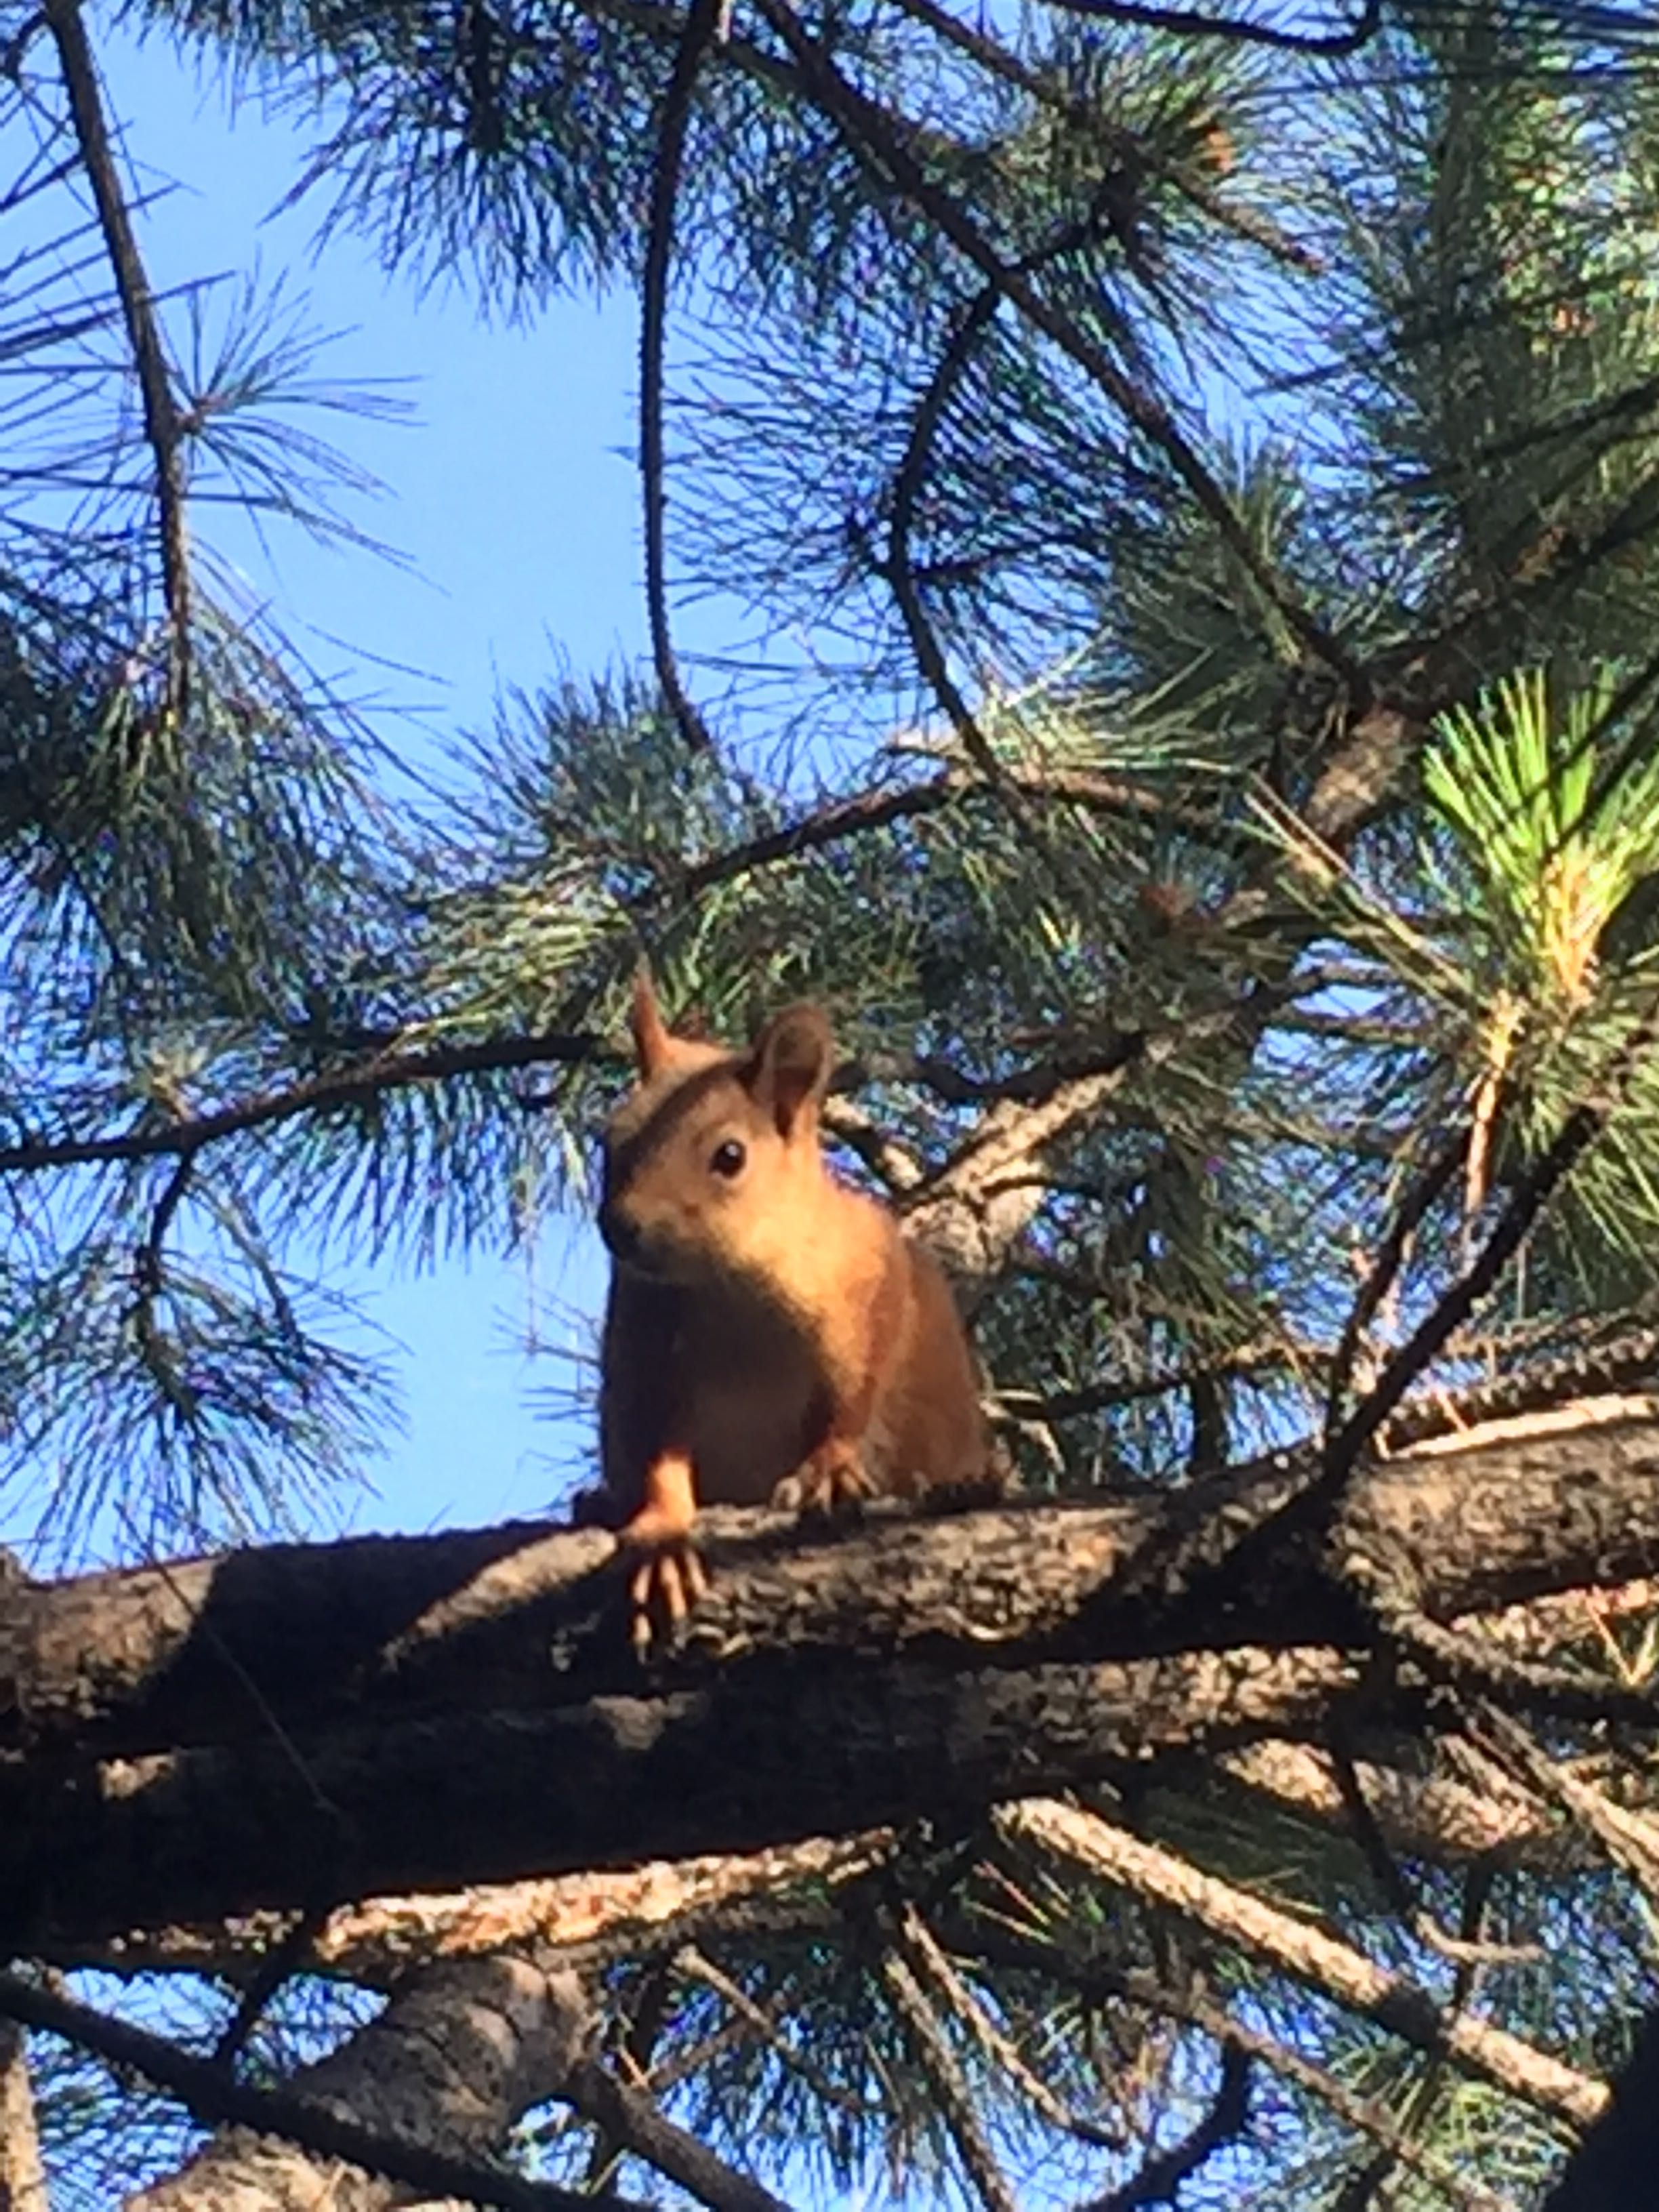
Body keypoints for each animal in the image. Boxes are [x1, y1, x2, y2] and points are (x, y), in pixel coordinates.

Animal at [592, 968, 995, 1645]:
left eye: (730, 1156)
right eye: (609, 1139)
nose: (619, 1227)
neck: (734, 1288)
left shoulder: (870, 1274)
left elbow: (856, 1389)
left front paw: (829, 1468)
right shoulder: (642, 1340)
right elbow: (656, 1448)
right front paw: (663, 1539)